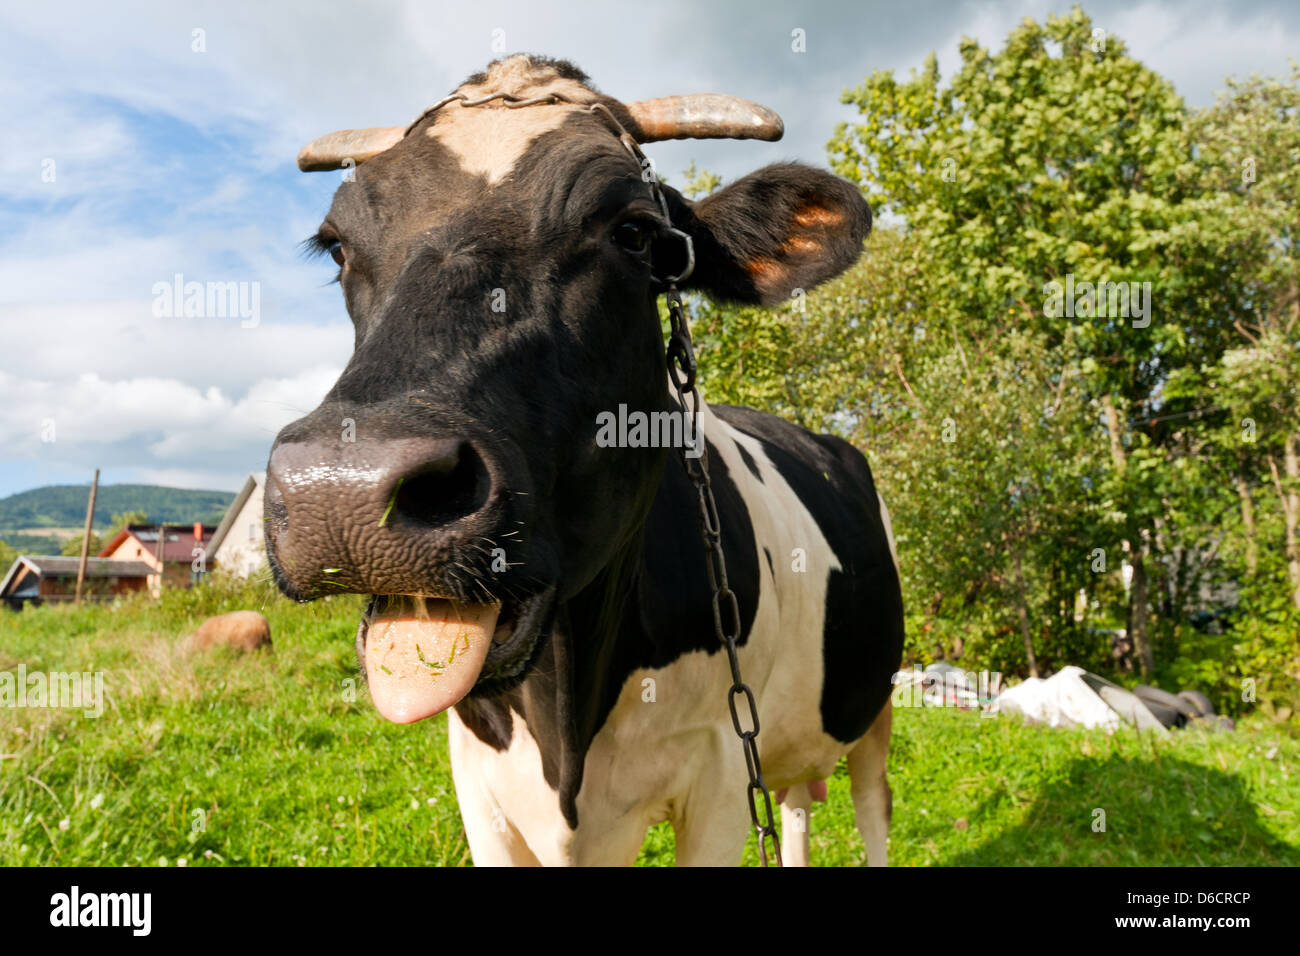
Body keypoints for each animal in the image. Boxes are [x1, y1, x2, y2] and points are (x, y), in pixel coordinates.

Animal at [266, 54, 904, 866]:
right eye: (339, 245)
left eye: (634, 233)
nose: (340, 491)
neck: (565, 720)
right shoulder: (478, 783)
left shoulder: (723, 775)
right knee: (795, 810)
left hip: (875, 707)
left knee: (872, 810)